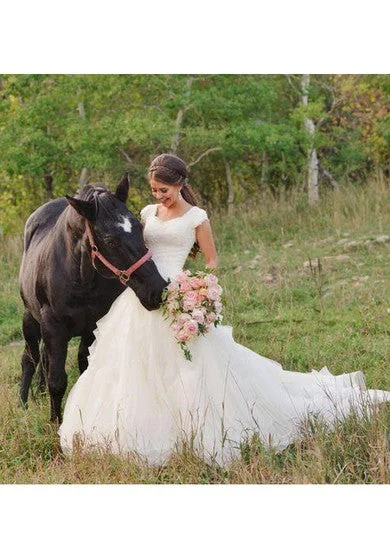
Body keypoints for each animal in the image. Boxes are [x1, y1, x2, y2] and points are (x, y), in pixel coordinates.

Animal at [19, 177, 166, 422]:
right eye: (110, 240)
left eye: (139, 227)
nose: (156, 290)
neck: (80, 278)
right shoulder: (53, 327)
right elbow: (57, 381)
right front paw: (55, 422)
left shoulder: (92, 326)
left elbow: (84, 368)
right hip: (30, 318)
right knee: (29, 359)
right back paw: (23, 403)